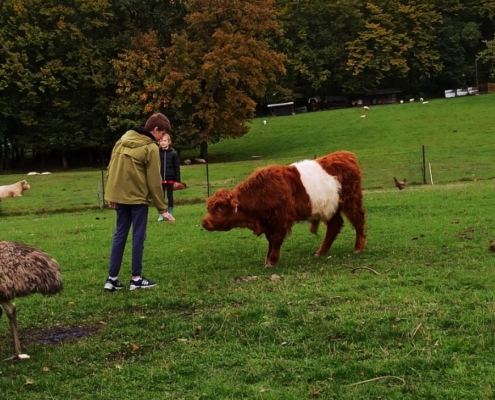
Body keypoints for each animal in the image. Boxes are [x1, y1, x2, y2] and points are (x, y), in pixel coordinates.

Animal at [202, 152, 368, 268]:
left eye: (221, 208)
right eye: (209, 207)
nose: (204, 222)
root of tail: (346, 155)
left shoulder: (280, 220)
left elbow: (275, 240)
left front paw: (272, 261)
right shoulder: (269, 223)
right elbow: (270, 241)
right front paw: (268, 259)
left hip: (351, 201)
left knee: (358, 220)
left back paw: (358, 248)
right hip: (330, 208)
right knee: (335, 226)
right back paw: (321, 252)